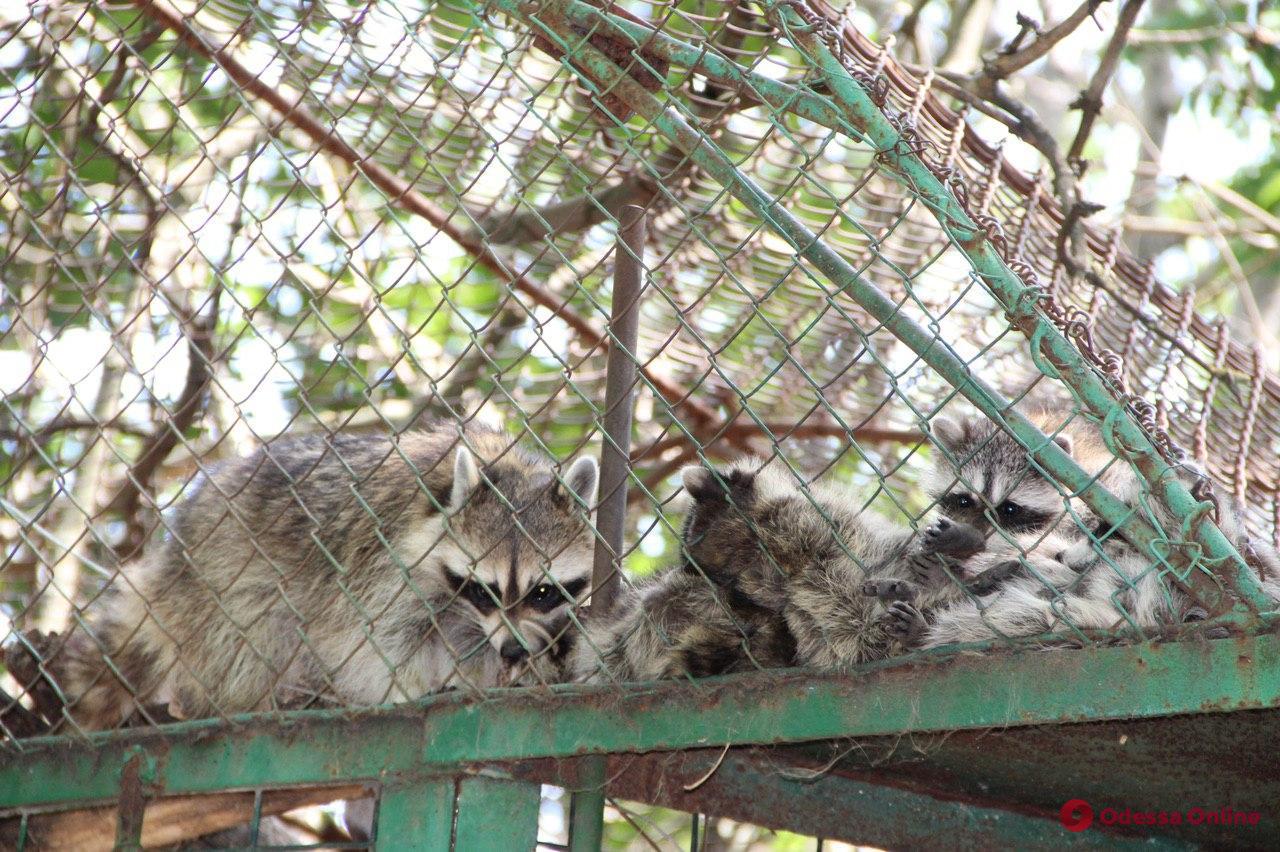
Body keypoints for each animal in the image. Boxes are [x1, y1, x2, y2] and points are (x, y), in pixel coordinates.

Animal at [45, 422, 593, 726]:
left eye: (544, 592)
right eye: (485, 590)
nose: (513, 650)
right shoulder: (382, 565)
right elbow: (368, 644)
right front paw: (409, 691)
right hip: (222, 574)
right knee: (250, 638)